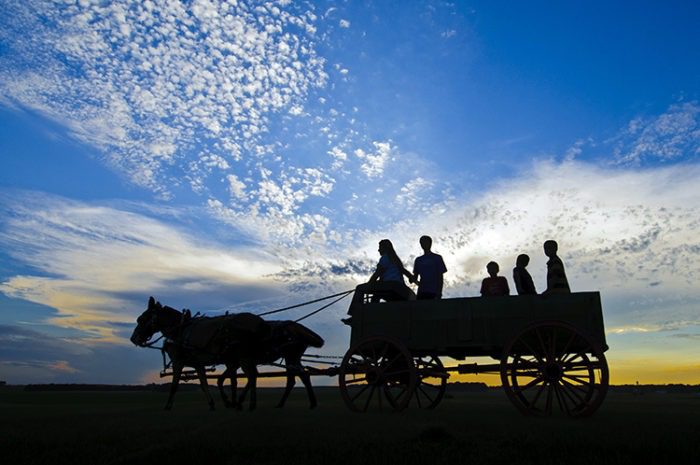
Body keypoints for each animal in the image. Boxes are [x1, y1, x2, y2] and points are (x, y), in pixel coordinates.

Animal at [131, 298, 322, 410]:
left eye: (141, 319)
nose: (134, 338)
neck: (182, 330)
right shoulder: (205, 363)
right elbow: (211, 383)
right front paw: (218, 403)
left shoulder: (180, 362)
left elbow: (175, 385)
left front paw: (168, 406)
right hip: (290, 358)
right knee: (300, 376)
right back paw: (304, 402)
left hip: (262, 357)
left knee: (257, 376)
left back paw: (252, 404)